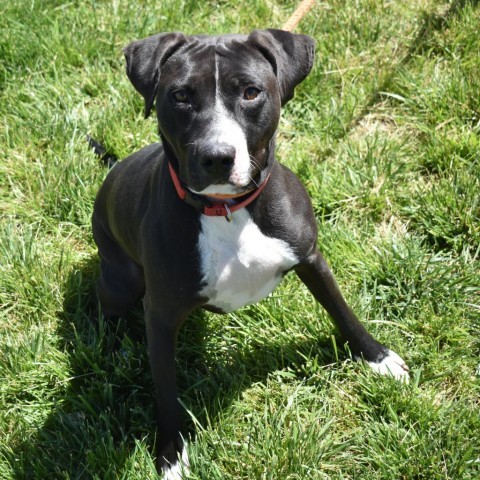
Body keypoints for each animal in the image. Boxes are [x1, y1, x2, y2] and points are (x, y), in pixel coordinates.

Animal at [91, 28, 408, 478]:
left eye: (251, 92)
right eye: (180, 95)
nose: (217, 157)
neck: (227, 210)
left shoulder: (311, 257)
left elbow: (341, 310)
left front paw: (378, 358)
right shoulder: (161, 313)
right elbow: (165, 390)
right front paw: (171, 454)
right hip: (122, 280)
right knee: (105, 304)